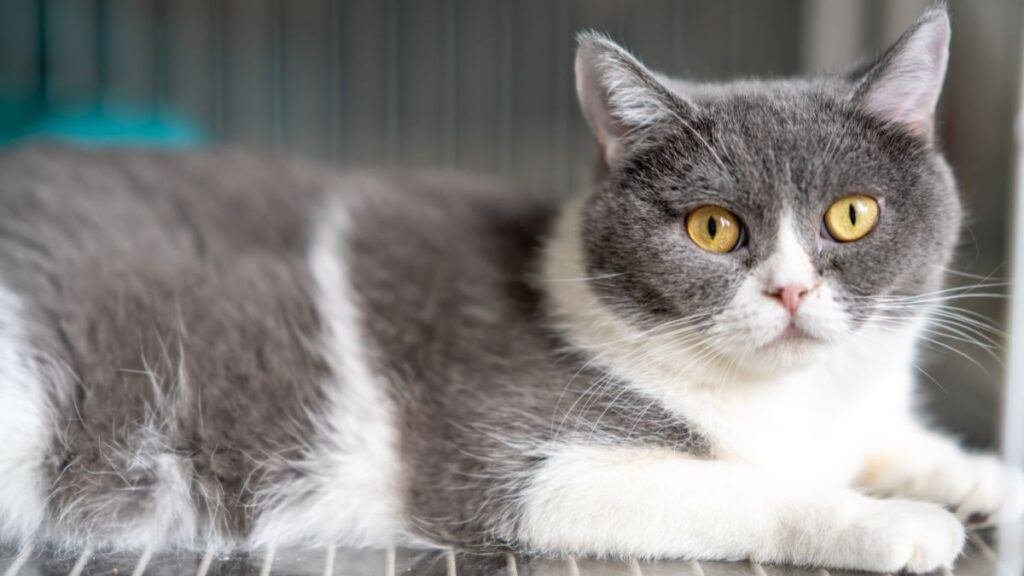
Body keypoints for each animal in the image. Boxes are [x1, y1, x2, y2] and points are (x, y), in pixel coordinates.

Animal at [2, 5, 1024, 573]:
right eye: (712, 228)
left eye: (851, 215)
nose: (790, 293)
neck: (796, 405)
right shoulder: (516, 459)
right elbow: (750, 488)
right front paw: (893, 522)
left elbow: (894, 443)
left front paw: (977, 476)